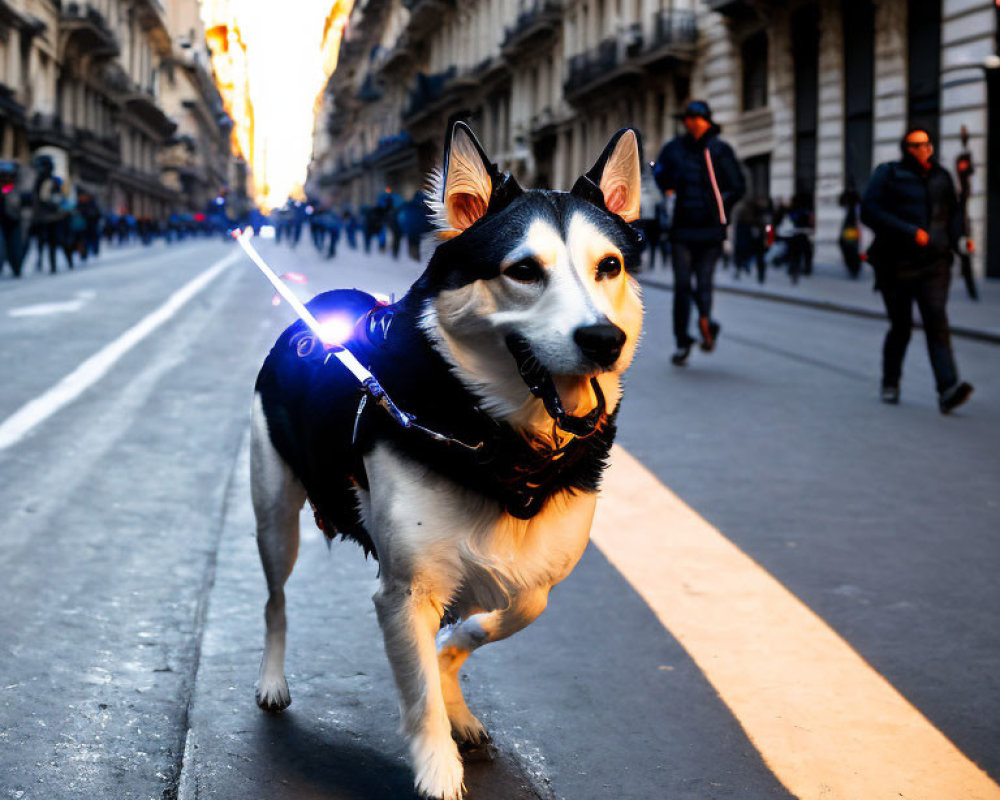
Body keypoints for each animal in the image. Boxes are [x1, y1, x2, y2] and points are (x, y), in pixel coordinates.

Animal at [246, 120, 644, 800]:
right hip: (273, 511)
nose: (603, 341)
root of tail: (323, 302)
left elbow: (492, 620)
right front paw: (439, 766)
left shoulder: (533, 576)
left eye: (609, 266)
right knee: (276, 601)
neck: (497, 442)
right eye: (524, 271)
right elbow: (419, 696)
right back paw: (273, 680)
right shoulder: (404, 593)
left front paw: (450, 678)